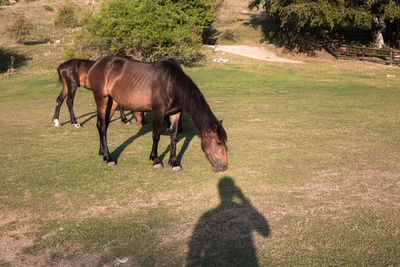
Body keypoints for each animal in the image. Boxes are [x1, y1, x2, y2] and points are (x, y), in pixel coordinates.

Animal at [88, 55, 228, 173]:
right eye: (218, 142)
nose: (224, 166)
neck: (171, 84)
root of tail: (97, 64)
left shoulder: (175, 113)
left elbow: (174, 136)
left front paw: (174, 162)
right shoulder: (158, 112)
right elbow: (156, 136)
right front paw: (156, 160)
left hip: (112, 101)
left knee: (103, 125)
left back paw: (102, 152)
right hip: (102, 99)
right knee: (102, 126)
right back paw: (108, 158)